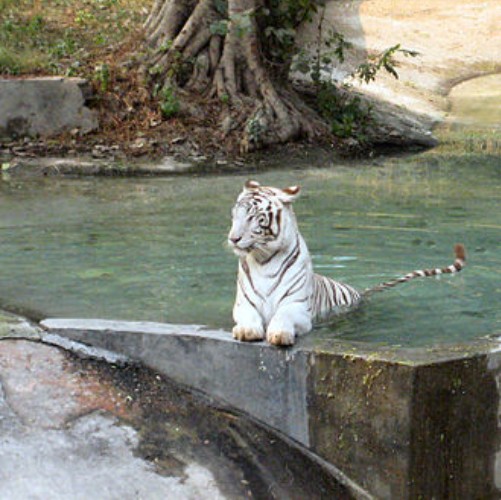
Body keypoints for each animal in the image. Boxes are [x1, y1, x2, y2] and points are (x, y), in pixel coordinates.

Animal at [229, 180, 466, 348]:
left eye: (254, 217)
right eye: (235, 215)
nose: (233, 238)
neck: (263, 259)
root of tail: (360, 293)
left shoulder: (297, 307)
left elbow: (283, 316)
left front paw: (279, 334)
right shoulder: (243, 305)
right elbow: (248, 317)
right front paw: (246, 331)